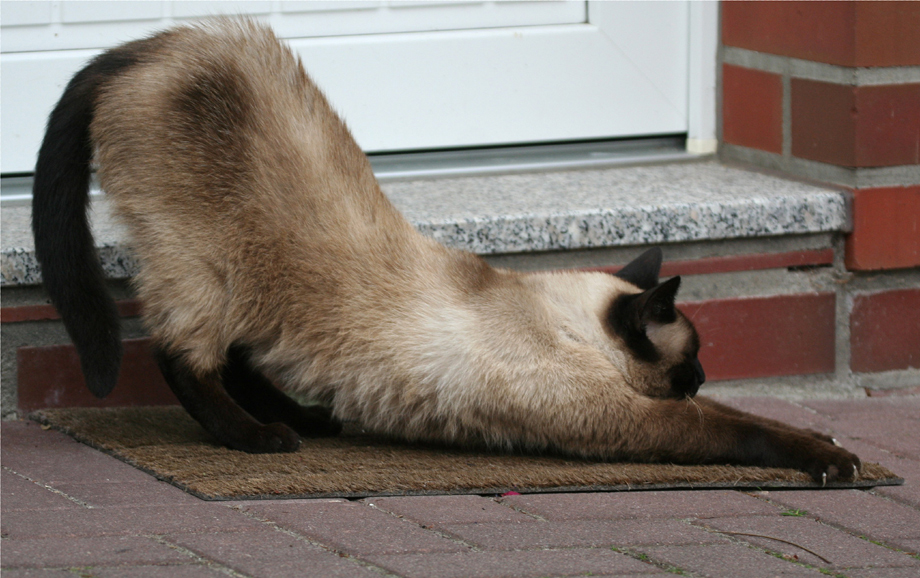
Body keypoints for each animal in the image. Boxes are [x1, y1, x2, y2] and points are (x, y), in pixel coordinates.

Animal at [30, 19, 864, 482]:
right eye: (690, 361)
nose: (700, 379)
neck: (558, 322)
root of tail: (144, 47)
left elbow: (744, 417)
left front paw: (826, 439)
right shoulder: (617, 417)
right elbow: (736, 428)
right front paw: (831, 457)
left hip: (256, 289)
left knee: (238, 354)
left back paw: (309, 421)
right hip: (204, 261)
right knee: (184, 355)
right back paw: (261, 439)